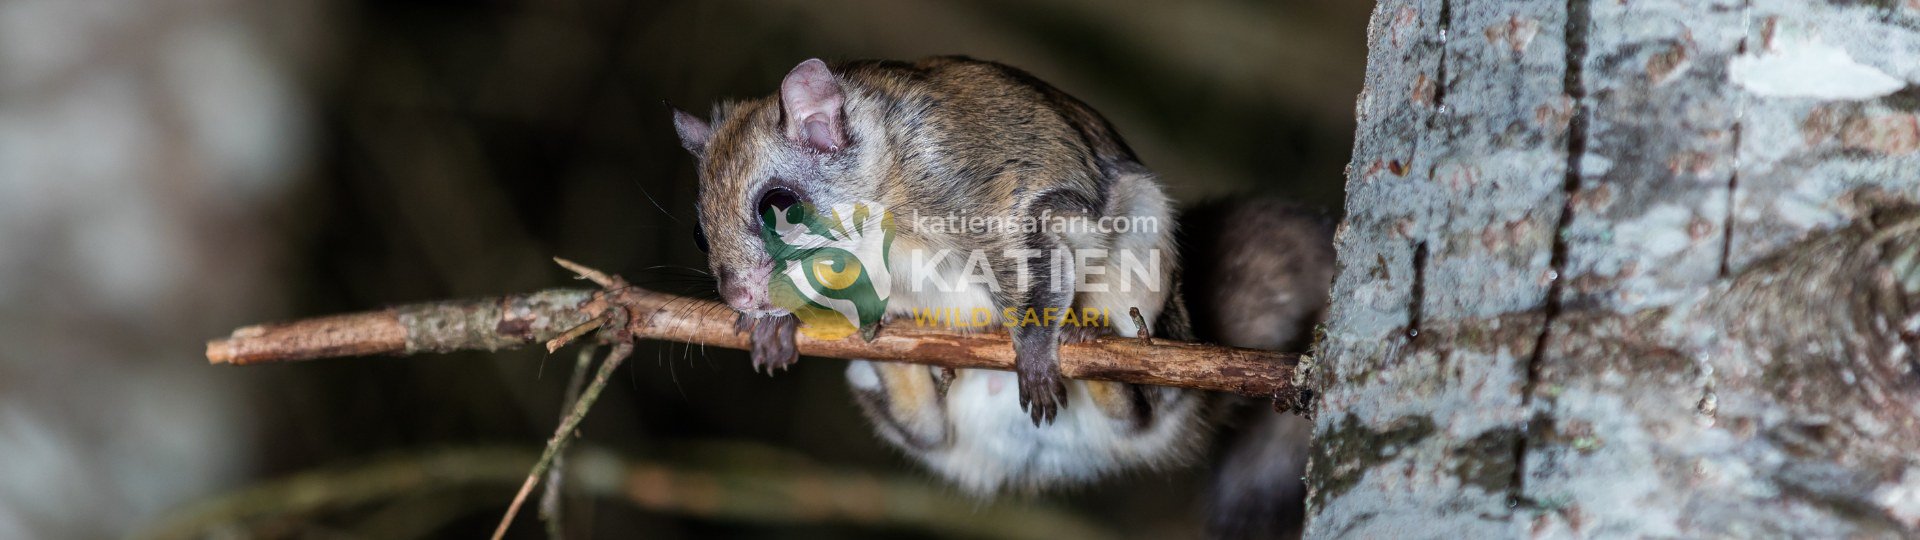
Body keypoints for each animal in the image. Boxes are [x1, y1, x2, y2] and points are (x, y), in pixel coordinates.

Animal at [670, 56, 1333, 537]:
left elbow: (1033, 270)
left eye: (779, 206)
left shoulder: (1001, 202)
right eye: (699, 230)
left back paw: (1099, 356)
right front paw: (773, 326)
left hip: (1148, 273)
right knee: (924, 429)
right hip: (915, 419)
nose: (738, 296)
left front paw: (1035, 352)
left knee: (1145, 409)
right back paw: (899, 369)